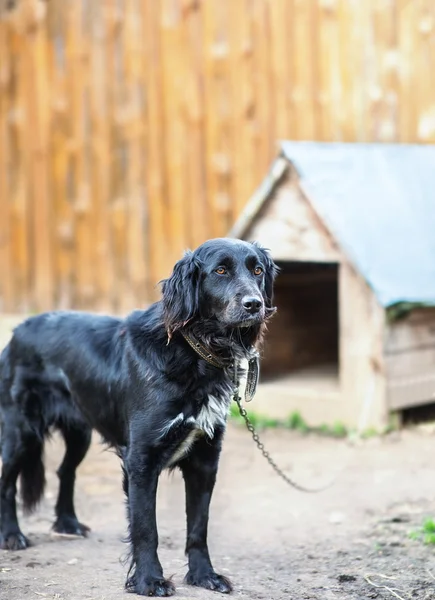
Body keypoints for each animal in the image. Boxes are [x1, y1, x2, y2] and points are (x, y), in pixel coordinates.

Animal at [0, 238, 278, 596]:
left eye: (257, 270)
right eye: (220, 270)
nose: (254, 304)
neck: (194, 352)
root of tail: (19, 329)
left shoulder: (204, 460)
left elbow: (198, 527)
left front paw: (204, 575)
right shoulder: (141, 461)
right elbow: (147, 528)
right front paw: (149, 580)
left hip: (80, 431)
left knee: (65, 471)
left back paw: (67, 523)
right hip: (21, 431)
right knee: (7, 482)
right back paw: (12, 535)